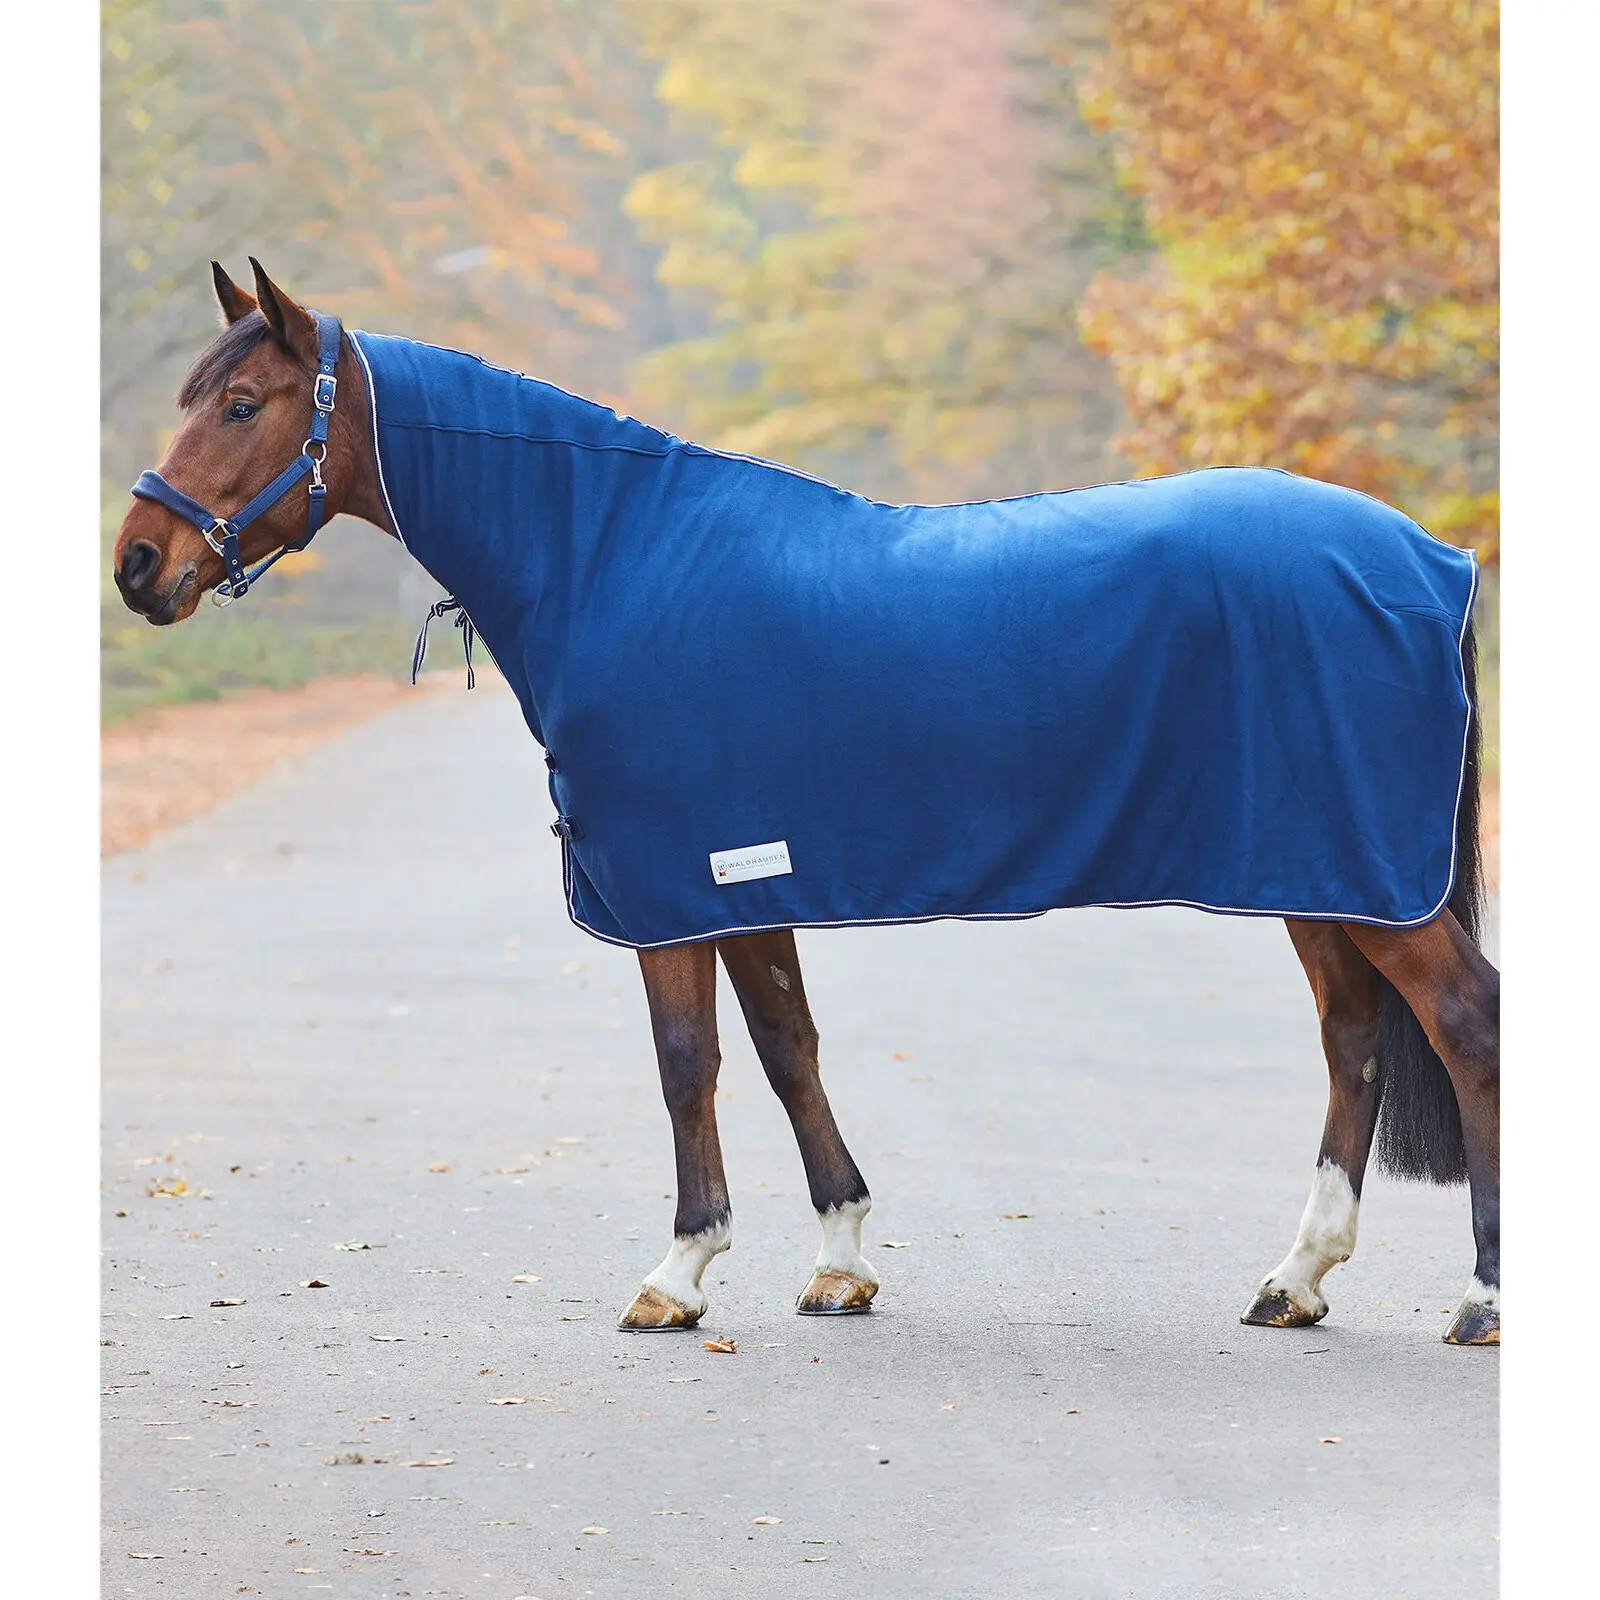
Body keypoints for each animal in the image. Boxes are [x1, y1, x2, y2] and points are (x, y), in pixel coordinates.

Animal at [112, 261, 1500, 1346]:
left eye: (241, 403)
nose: (137, 564)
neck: (617, 560)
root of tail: (1431, 558)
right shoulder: (744, 875)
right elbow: (788, 1050)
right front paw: (840, 1260)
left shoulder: (669, 885)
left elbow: (689, 1064)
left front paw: (678, 1273)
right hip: (1321, 875)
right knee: (1354, 1043)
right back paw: (1295, 1280)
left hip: (1365, 877)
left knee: (1464, 1022)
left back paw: (1482, 1297)